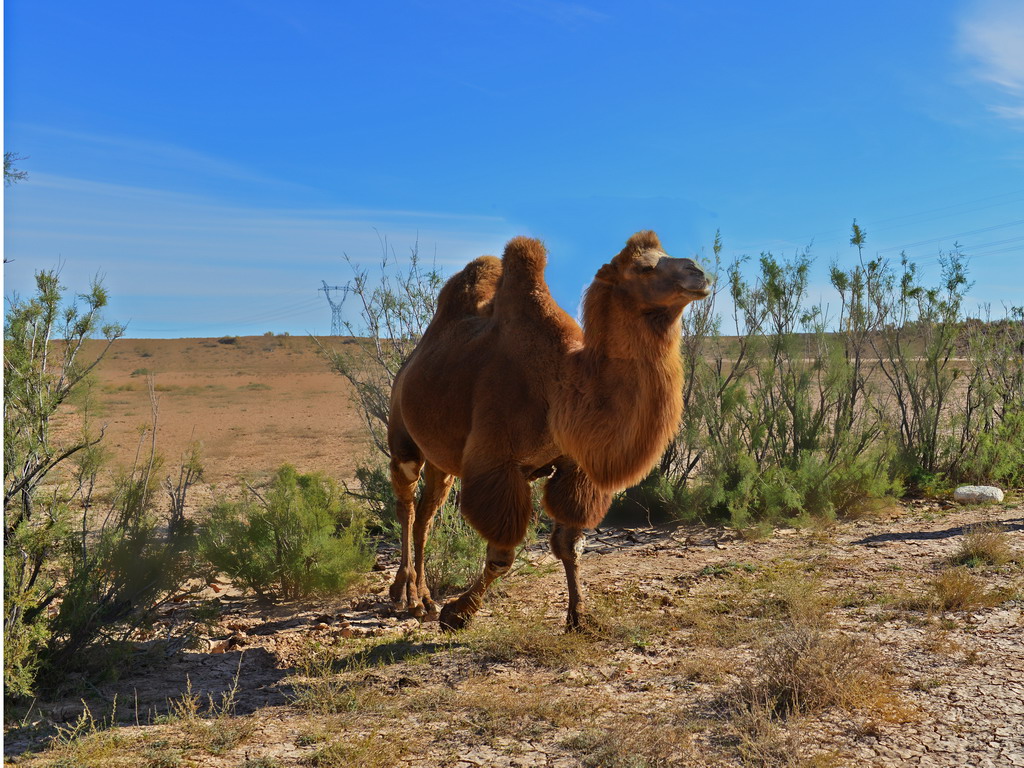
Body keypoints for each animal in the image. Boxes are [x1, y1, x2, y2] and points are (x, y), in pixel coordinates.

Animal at [387, 233, 708, 630]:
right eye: (643, 267)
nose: (698, 273)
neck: (560, 386)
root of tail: (408, 365)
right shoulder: (498, 462)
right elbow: (502, 555)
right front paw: (458, 612)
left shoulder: (573, 468)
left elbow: (569, 545)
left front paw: (579, 617)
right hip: (403, 441)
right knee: (405, 505)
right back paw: (409, 597)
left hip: (441, 462)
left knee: (426, 514)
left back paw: (424, 596)